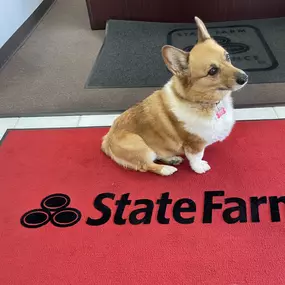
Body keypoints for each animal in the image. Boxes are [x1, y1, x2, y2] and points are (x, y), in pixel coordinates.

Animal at [101, 16, 247, 175]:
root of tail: (107, 140)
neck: (204, 102)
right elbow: (196, 157)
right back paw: (167, 168)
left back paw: (172, 159)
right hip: (141, 146)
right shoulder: (194, 143)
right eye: (212, 71)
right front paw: (199, 167)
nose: (244, 78)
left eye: (227, 56)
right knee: (147, 165)